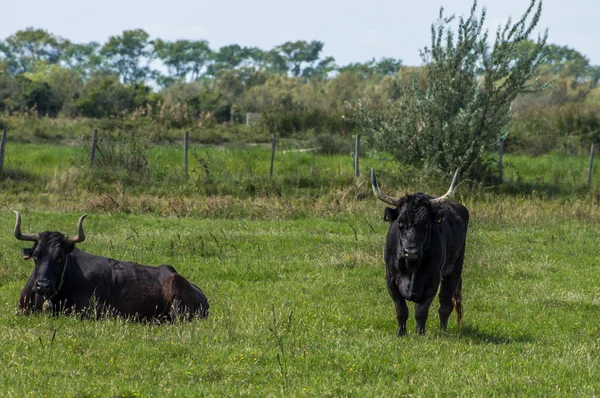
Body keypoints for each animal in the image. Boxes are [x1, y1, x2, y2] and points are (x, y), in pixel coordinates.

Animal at [370, 168, 468, 336]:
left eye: (426, 224)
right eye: (400, 223)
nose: (411, 251)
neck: (412, 268)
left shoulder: (433, 281)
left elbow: (421, 310)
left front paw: (420, 334)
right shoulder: (390, 278)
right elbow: (401, 309)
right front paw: (401, 333)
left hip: (455, 268)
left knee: (445, 304)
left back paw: (443, 331)